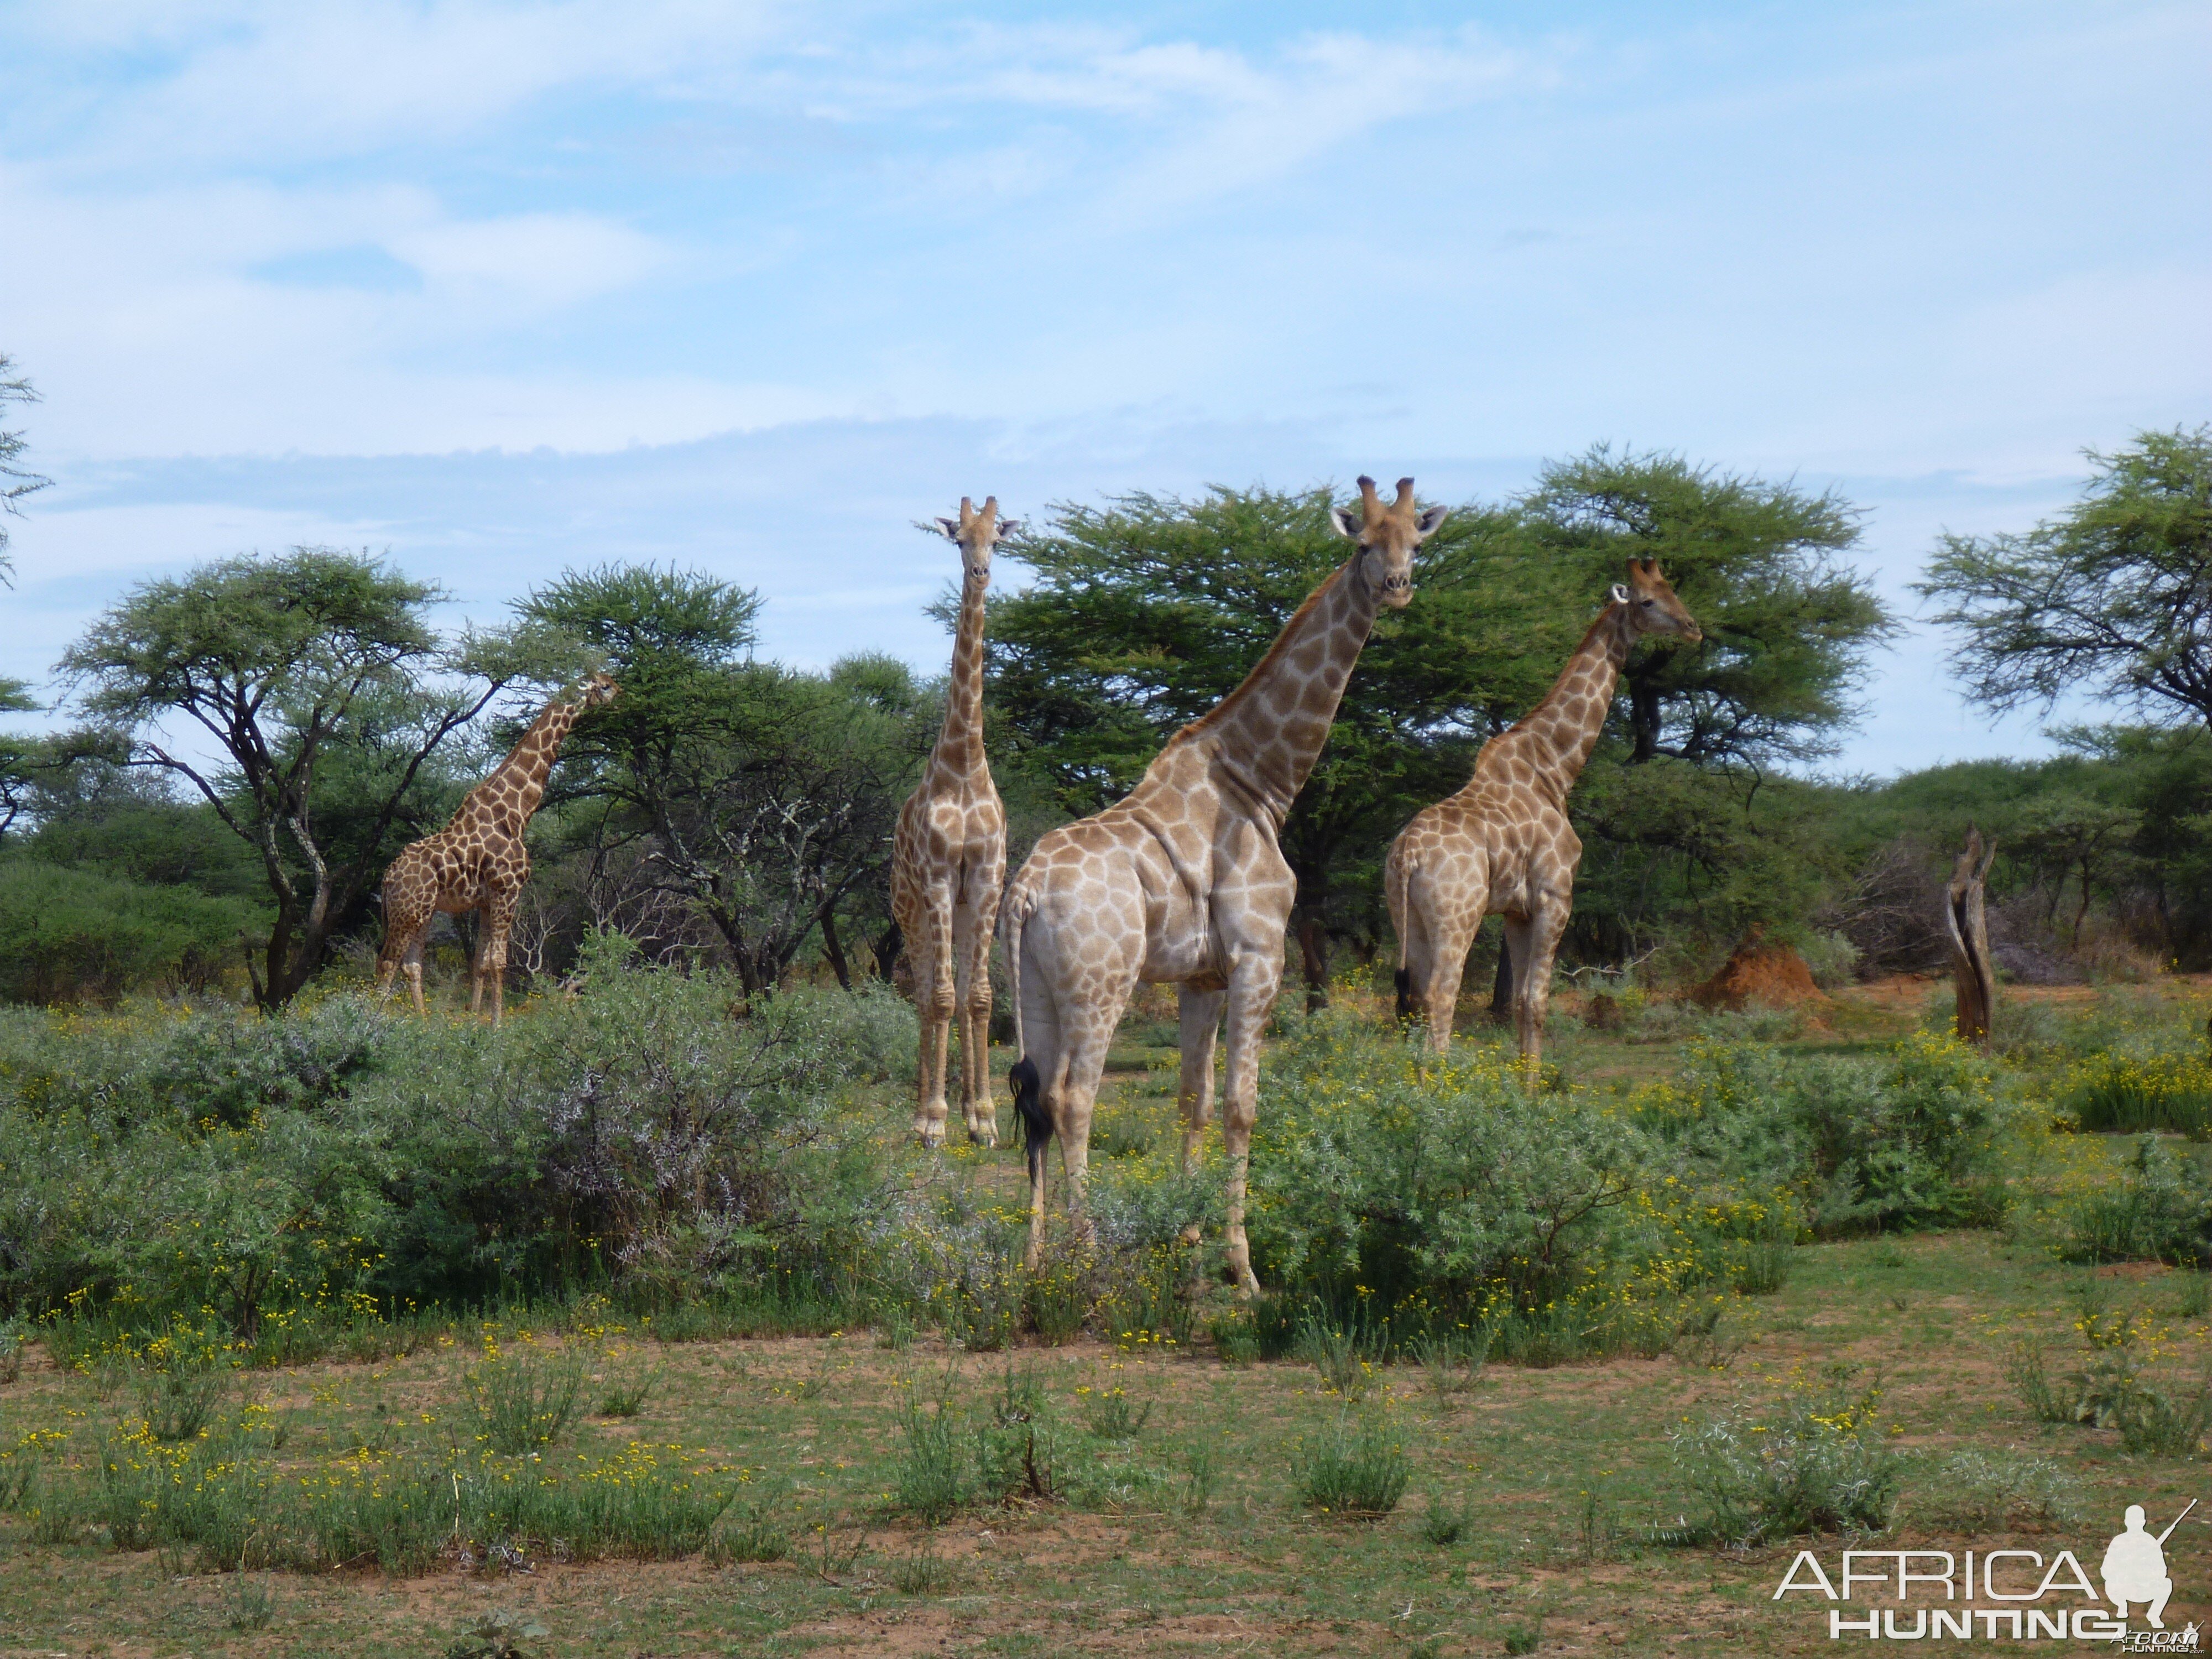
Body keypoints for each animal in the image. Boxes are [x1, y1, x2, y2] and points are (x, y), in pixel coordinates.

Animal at [372, 677, 615, 1026]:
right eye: (605, 686)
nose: (620, 694)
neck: (517, 812)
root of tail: (388, 878)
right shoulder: (507, 891)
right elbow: (500, 962)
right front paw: (498, 1025)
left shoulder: (487, 901)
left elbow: (480, 962)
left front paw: (475, 1019)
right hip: (408, 911)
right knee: (388, 962)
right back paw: (370, 1023)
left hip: (423, 912)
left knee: (411, 964)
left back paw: (423, 1023)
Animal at [1009, 473, 1451, 1292]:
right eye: (1364, 544)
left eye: (1416, 538)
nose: (1399, 587)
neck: (1260, 779)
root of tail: (1022, 892)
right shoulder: (1259, 956)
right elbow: (1244, 1105)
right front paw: (1243, 1270)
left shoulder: (1202, 976)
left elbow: (1194, 1100)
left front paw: (1186, 1245)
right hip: (1101, 982)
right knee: (1073, 1096)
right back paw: (1087, 1263)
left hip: (1034, 984)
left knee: (1033, 1096)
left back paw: (1032, 1266)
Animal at [1380, 560, 1708, 1079]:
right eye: (1648, 600)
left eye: (1671, 588)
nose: (1693, 628)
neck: (1555, 768)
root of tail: (1408, 854)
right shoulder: (1556, 895)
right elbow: (1537, 1002)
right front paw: (1533, 1095)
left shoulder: (1517, 909)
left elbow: (1517, 1003)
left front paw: (1520, 1087)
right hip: (1459, 915)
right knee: (1441, 997)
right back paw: (1442, 1092)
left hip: (1404, 914)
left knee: (1412, 1001)